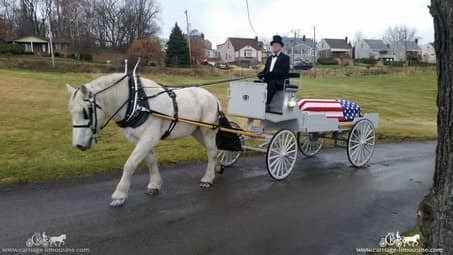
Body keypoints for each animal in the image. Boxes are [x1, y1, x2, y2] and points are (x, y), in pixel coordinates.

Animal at [66, 72, 222, 206]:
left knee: (212, 151)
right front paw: (154, 185)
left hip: (207, 131)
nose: (78, 145)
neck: (137, 102)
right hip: (197, 132)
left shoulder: (149, 138)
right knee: (215, 150)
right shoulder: (140, 139)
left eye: (86, 111)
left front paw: (119, 194)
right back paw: (218, 167)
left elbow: (130, 164)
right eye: (71, 112)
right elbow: (151, 162)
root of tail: (213, 97)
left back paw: (207, 178)